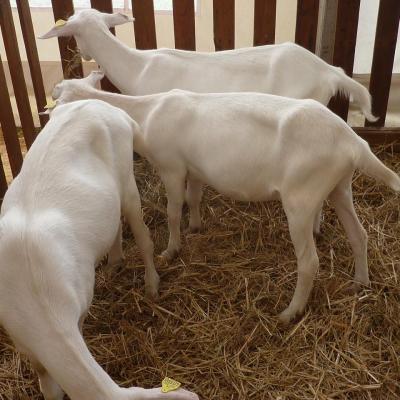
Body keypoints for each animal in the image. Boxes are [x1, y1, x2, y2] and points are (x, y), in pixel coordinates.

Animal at [0, 99, 199, 400]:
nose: (195, 394)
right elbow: (47, 383)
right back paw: (115, 262)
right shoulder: (23, 341)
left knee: (144, 237)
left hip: (127, 179)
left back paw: (151, 285)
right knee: (116, 222)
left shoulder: (79, 311)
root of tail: (105, 106)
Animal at [52, 72, 400, 324]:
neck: (145, 114)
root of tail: (354, 142)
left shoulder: (171, 167)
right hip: (340, 186)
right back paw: (360, 283)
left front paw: (171, 249)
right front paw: (195, 228)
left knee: (310, 261)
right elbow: (193, 199)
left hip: (301, 198)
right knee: (359, 236)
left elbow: (173, 211)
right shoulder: (194, 169)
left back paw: (290, 313)